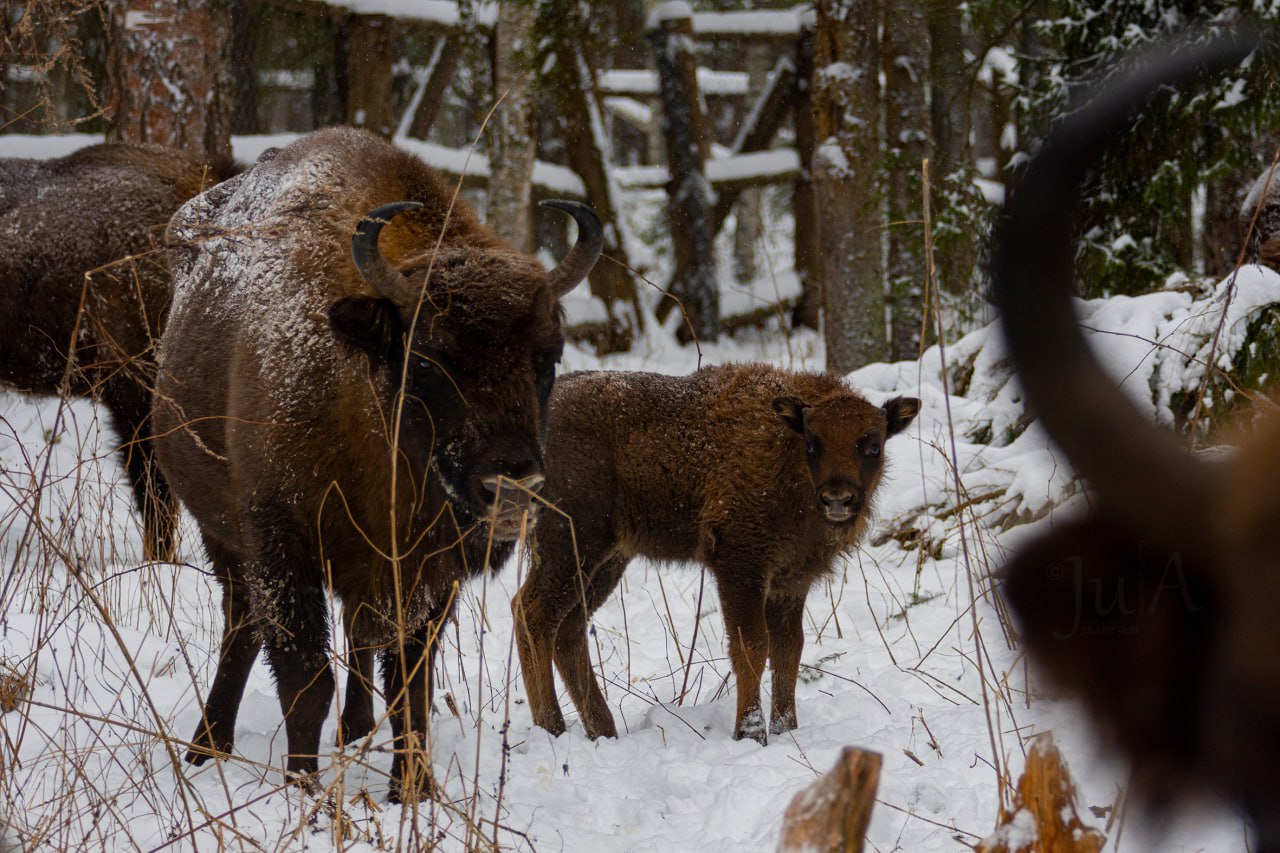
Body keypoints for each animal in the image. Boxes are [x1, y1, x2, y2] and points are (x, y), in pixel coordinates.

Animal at [152, 128, 601, 799]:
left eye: (547, 358)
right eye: (431, 356)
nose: (514, 488)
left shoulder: (430, 573)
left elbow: (410, 684)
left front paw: (412, 790)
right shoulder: (281, 547)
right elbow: (305, 678)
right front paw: (304, 791)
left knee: (349, 638)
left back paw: (351, 729)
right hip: (223, 537)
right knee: (242, 628)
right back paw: (208, 747)